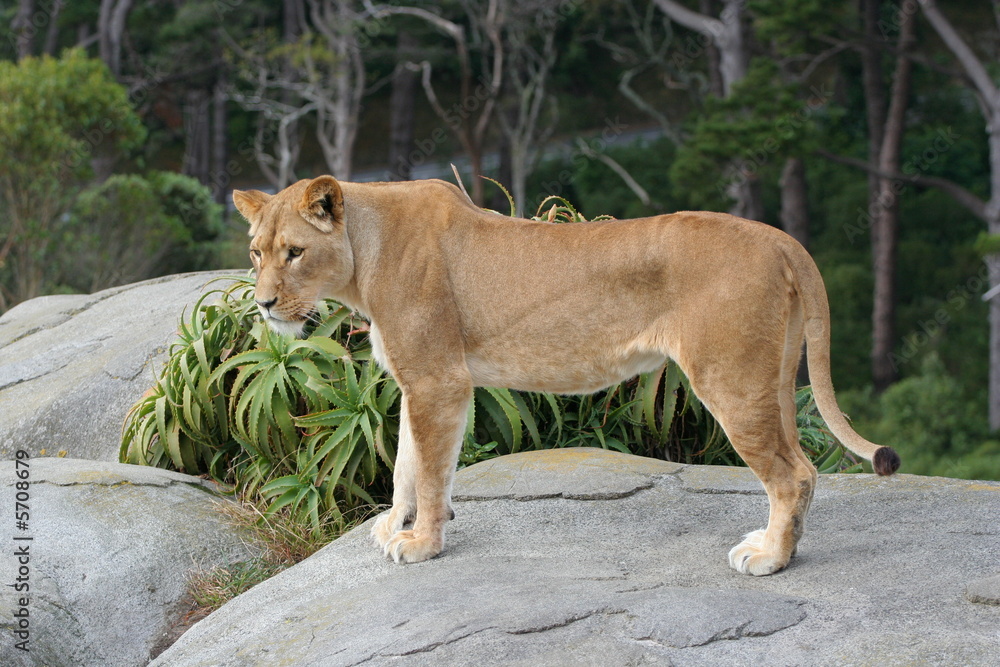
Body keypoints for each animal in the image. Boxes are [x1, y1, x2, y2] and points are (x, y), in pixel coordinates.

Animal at [233, 175, 900, 576]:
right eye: (256, 253)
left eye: (294, 252)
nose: (263, 305)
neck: (363, 255)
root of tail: (781, 239)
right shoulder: (417, 381)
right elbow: (405, 465)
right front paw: (396, 526)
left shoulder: (438, 380)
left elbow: (427, 469)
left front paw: (422, 544)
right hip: (775, 380)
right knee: (802, 465)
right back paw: (777, 546)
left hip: (731, 382)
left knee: (791, 474)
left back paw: (769, 559)